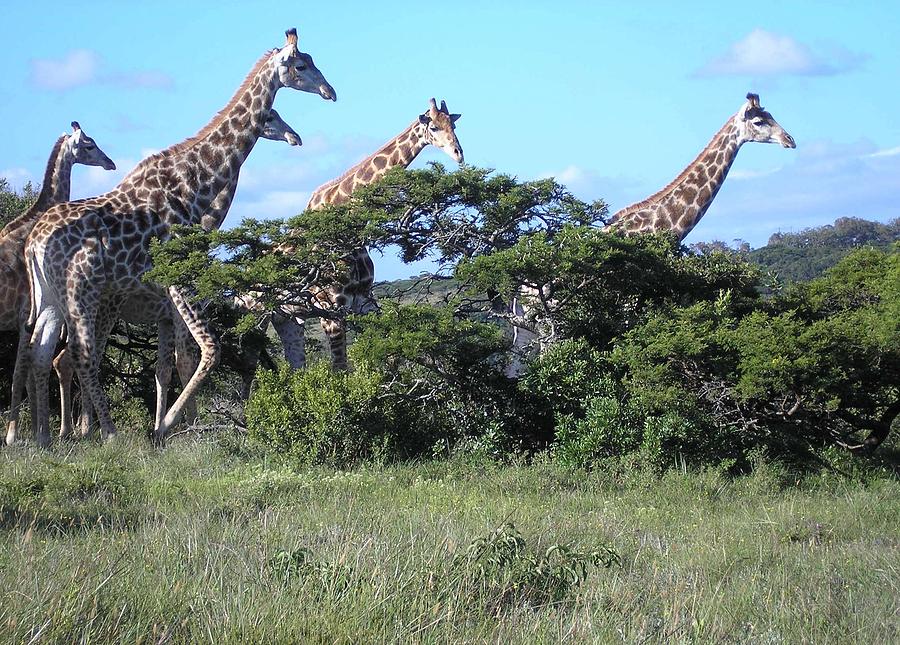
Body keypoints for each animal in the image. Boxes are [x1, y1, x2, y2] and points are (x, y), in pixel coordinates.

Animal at [0, 122, 116, 440]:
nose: (110, 163)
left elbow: (27, 371)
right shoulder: (25, 315)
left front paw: (34, 431)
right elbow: (21, 373)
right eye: (89, 145)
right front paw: (15, 435)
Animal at [51, 108, 304, 440]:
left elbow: (164, 370)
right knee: (77, 357)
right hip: (104, 310)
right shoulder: (174, 312)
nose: (294, 136)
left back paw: (79, 429)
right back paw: (80, 430)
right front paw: (184, 428)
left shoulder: (165, 319)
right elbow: (182, 362)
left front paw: (165, 425)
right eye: (271, 117)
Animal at [268, 95, 464, 368]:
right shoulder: (330, 308)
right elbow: (340, 369)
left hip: (286, 318)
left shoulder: (364, 301)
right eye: (434, 127)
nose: (459, 154)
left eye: (453, 126)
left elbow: (387, 357)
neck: (352, 228)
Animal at [506, 91, 796, 374]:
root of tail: (520, 287)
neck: (659, 227)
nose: (790, 140)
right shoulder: (629, 303)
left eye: (771, 115)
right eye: (759, 121)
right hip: (551, 321)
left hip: (529, 325)